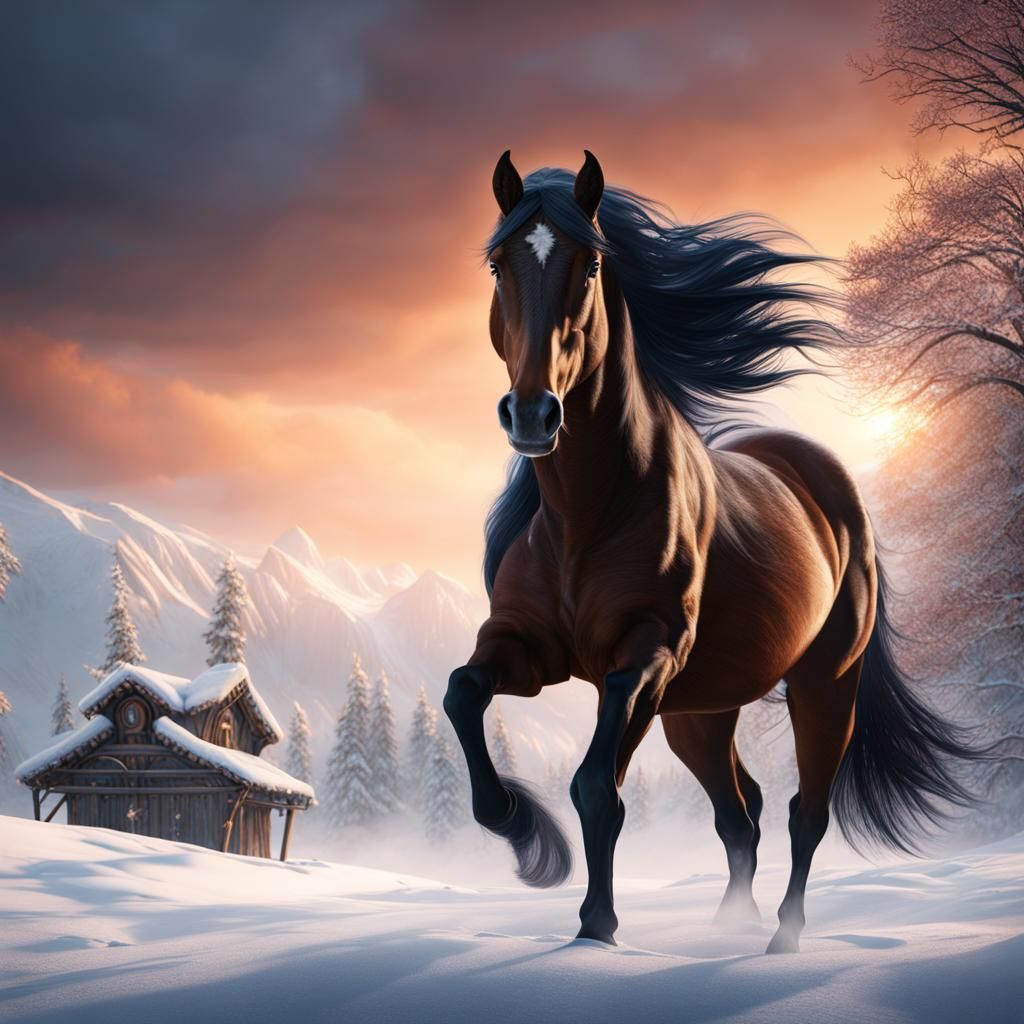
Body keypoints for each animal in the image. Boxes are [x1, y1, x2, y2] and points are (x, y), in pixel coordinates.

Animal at [444, 150, 977, 953]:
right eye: (497, 263)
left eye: (591, 264)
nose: (533, 415)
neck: (587, 512)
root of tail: (827, 481)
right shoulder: (527, 649)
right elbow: (461, 694)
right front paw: (527, 838)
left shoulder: (643, 659)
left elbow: (596, 786)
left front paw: (595, 927)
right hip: (699, 712)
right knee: (740, 811)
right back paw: (731, 923)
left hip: (822, 685)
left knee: (802, 812)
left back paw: (781, 939)